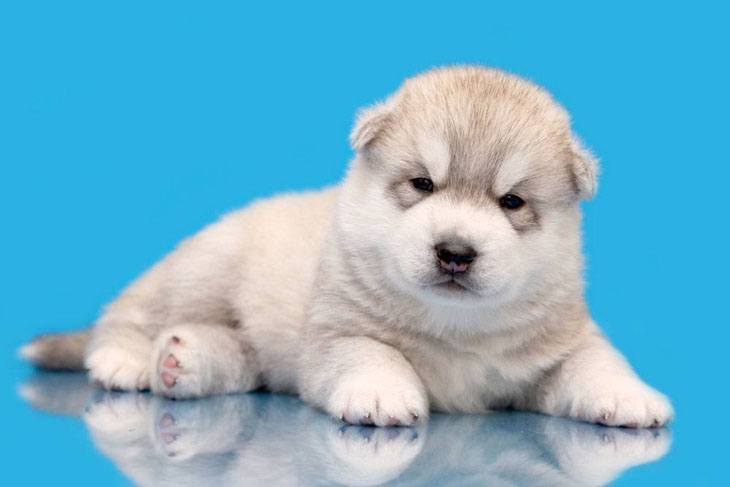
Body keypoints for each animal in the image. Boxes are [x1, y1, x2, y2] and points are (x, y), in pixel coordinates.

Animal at [19, 66, 672, 428]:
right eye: (422, 185)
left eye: (511, 202)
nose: (455, 251)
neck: (455, 326)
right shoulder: (337, 331)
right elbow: (369, 354)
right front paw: (383, 393)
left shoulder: (563, 341)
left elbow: (597, 362)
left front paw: (629, 397)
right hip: (203, 271)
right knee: (130, 313)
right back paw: (127, 359)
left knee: (241, 357)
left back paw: (182, 362)